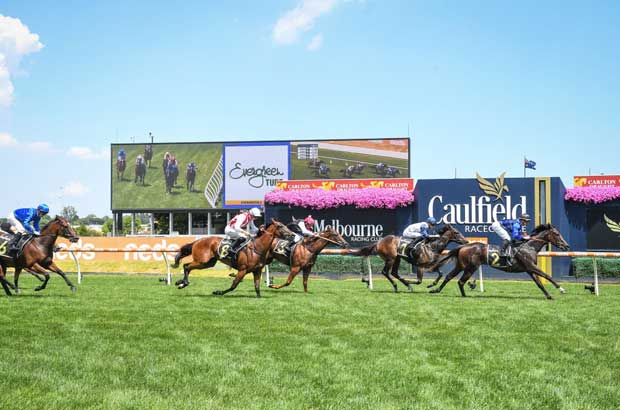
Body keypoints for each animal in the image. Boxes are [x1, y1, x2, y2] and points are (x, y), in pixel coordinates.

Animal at [428, 223, 568, 300]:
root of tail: (463, 246)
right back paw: (464, 295)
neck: (529, 247)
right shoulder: (531, 266)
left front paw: (549, 296)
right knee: (460, 281)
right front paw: (561, 289)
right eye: (556, 234)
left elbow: (539, 283)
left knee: (449, 277)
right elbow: (547, 276)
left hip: (461, 266)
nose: (566, 246)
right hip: (470, 267)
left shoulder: (529, 269)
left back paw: (436, 290)